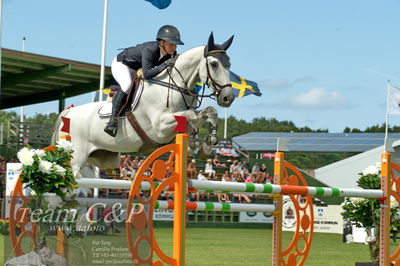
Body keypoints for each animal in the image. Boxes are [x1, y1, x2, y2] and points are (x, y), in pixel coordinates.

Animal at [52, 33, 236, 169]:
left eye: (229, 64)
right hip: (76, 157)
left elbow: (209, 112)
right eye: (214, 64)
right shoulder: (160, 126)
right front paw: (195, 141)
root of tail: (68, 112)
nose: (228, 97)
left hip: (101, 158)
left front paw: (206, 145)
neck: (175, 84)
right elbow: (191, 115)